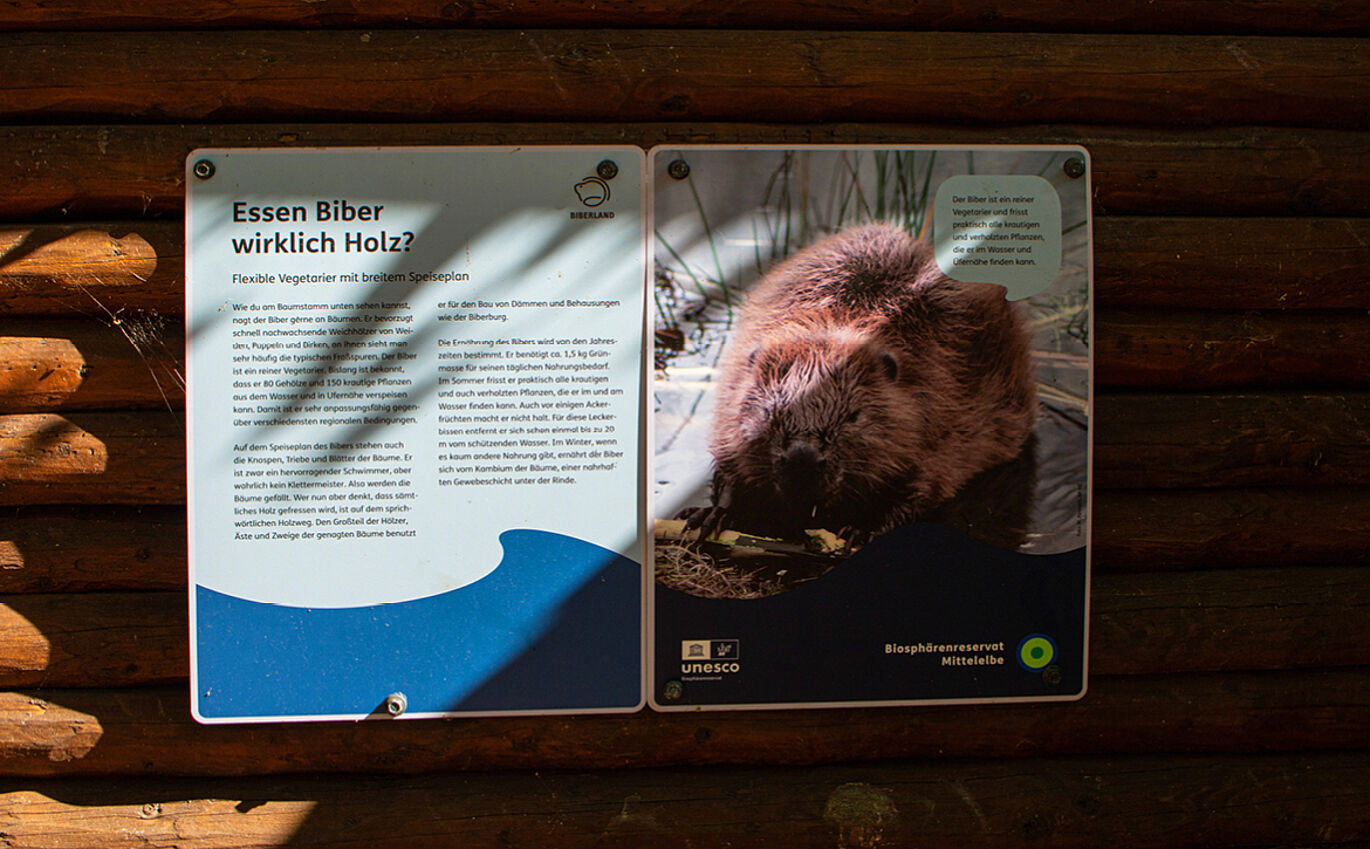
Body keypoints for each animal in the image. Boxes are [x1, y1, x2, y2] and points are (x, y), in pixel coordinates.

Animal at [685, 223, 1035, 545]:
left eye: (853, 416)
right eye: (769, 413)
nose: (802, 460)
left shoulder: (943, 408)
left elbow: (922, 486)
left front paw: (861, 531)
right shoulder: (732, 397)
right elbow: (729, 462)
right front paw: (709, 515)